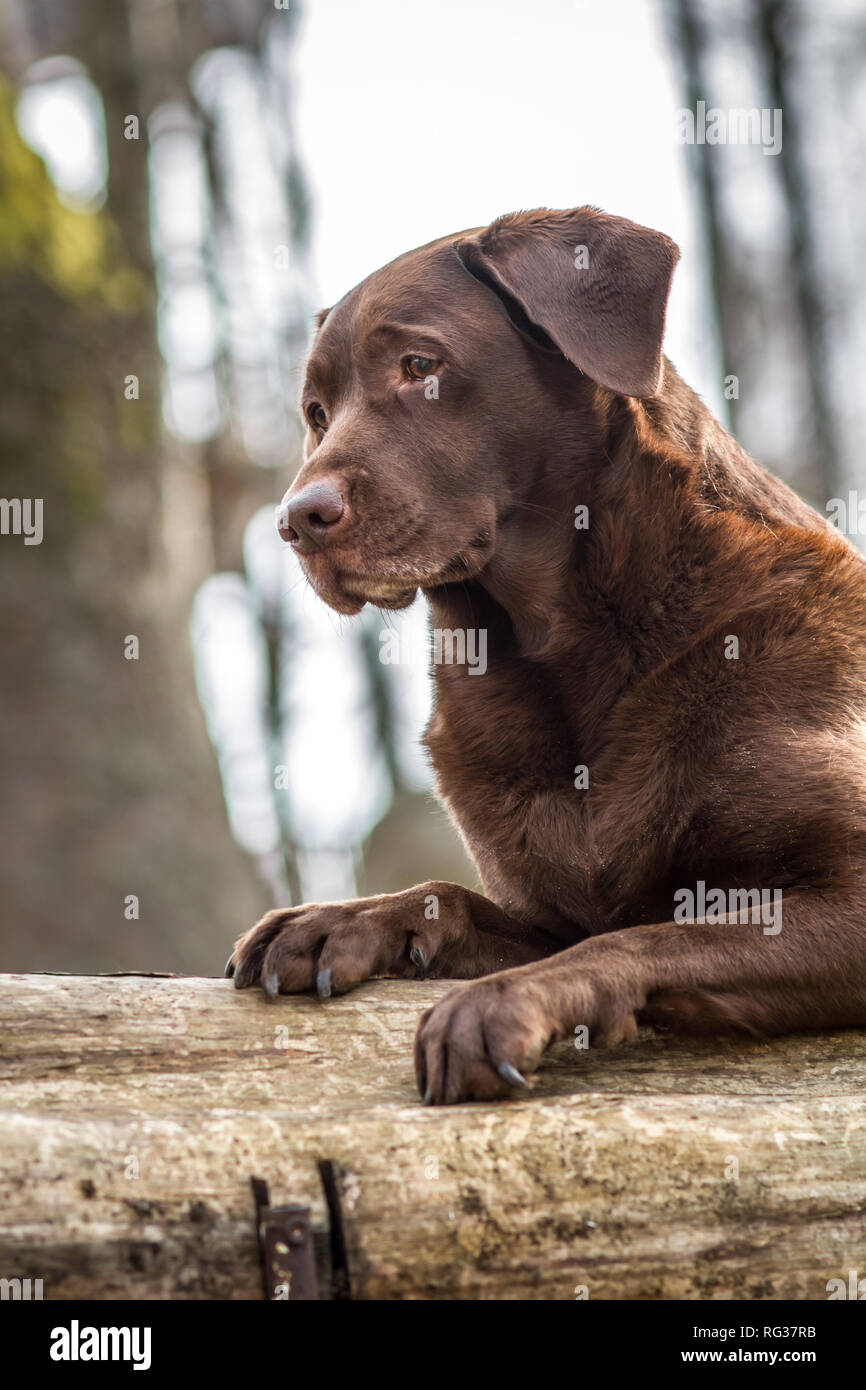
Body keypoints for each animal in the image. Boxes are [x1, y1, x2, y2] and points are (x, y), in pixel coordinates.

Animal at [226, 205, 866, 1100]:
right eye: (316, 411)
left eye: (419, 365)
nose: (295, 521)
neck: (566, 649)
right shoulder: (546, 907)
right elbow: (456, 896)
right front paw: (338, 919)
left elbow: (648, 934)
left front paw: (501, 1004)